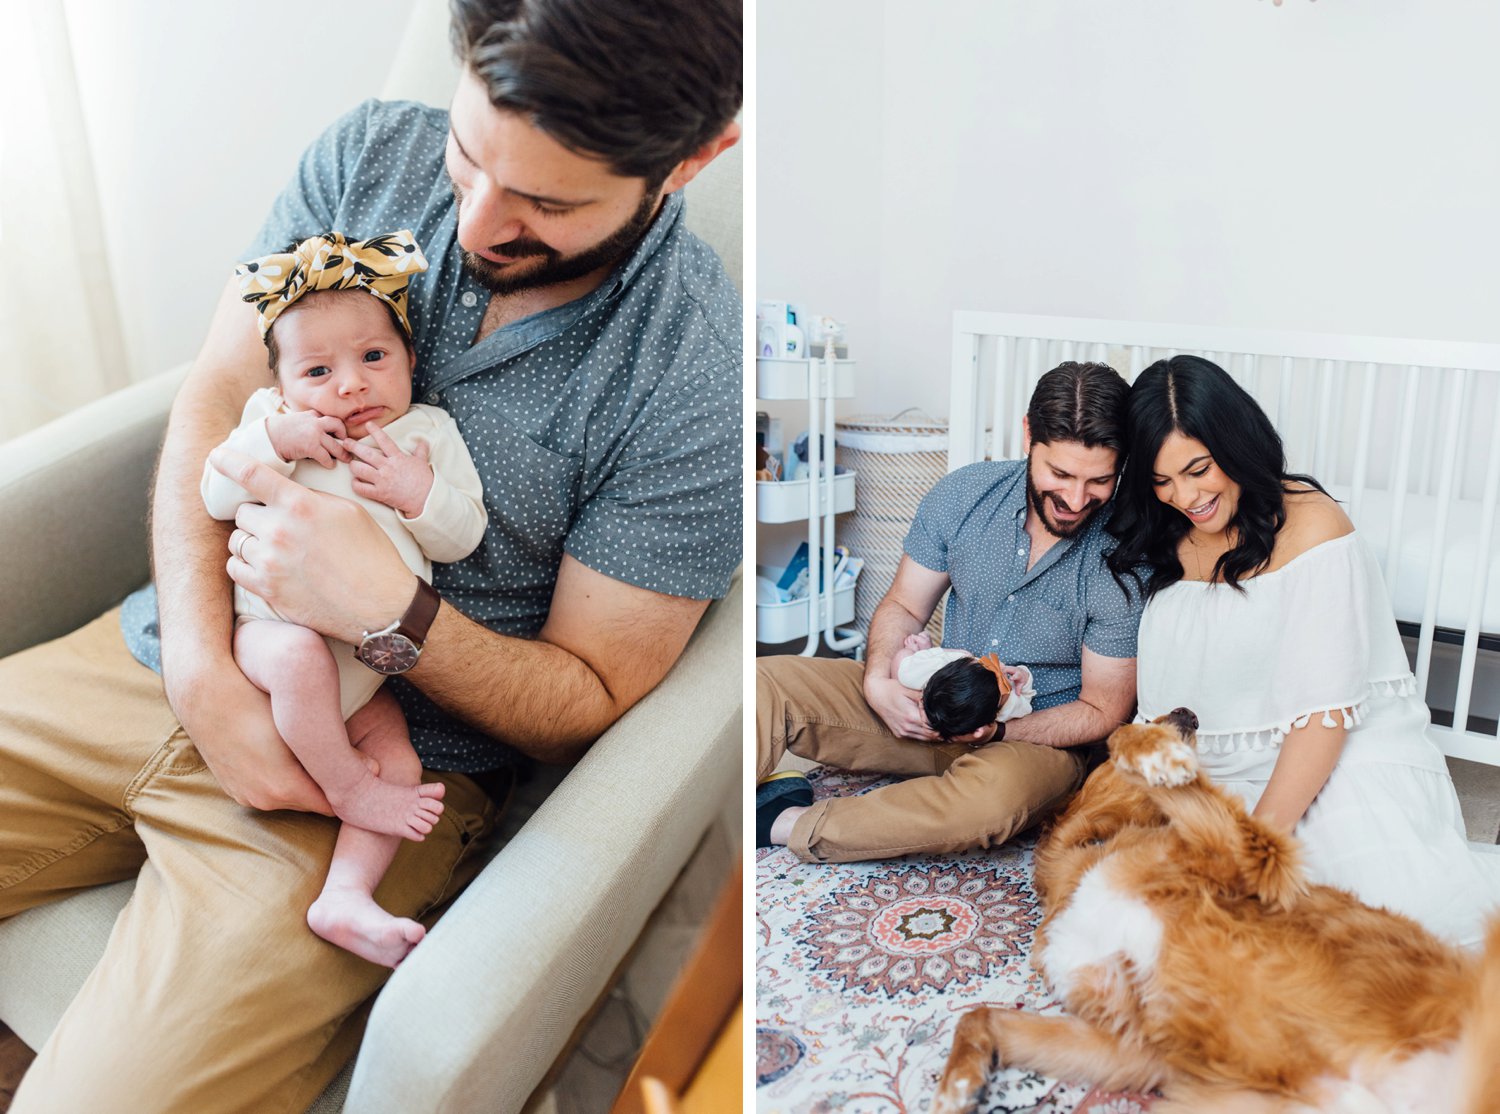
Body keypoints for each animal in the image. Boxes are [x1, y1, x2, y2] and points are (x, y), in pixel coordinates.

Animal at [930, 713, 1500, 1114]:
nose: (1189, 712)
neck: (1092, 854)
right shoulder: (1127, 1043)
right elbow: (978, 1015)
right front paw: (956, 1087)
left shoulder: (1253, 859)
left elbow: (1119, 734)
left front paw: (1157, 754)